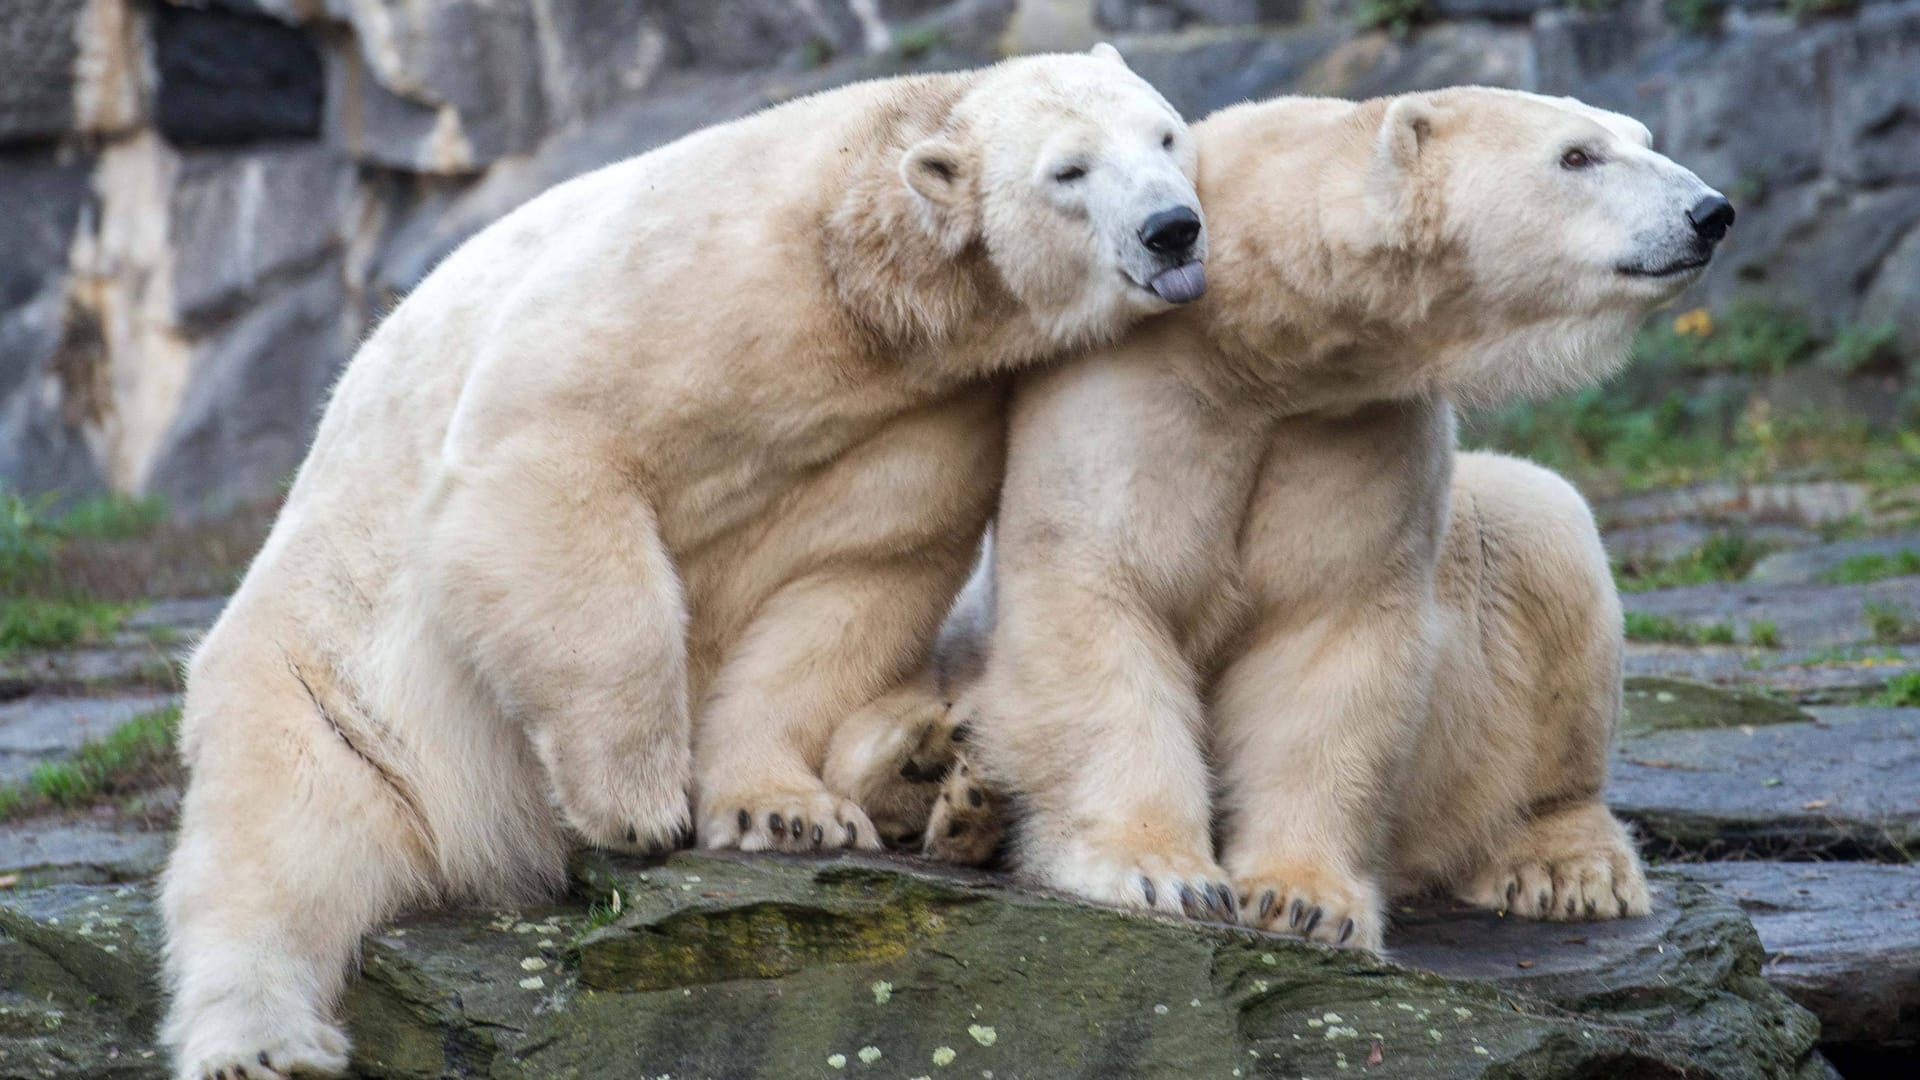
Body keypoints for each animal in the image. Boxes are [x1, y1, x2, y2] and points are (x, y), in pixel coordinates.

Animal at [936, 88, 1735, 945]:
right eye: (1577, 155)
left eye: (1642, 137)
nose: (1710, 212)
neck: (1253, 351)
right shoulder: (1127, 396)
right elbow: (1101, 594)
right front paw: (1159, 873)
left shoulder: (1358, 432)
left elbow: (1329, 631)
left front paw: (1301, 900)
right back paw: (964, 795)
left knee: (1548, 533)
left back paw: (1566, 866)